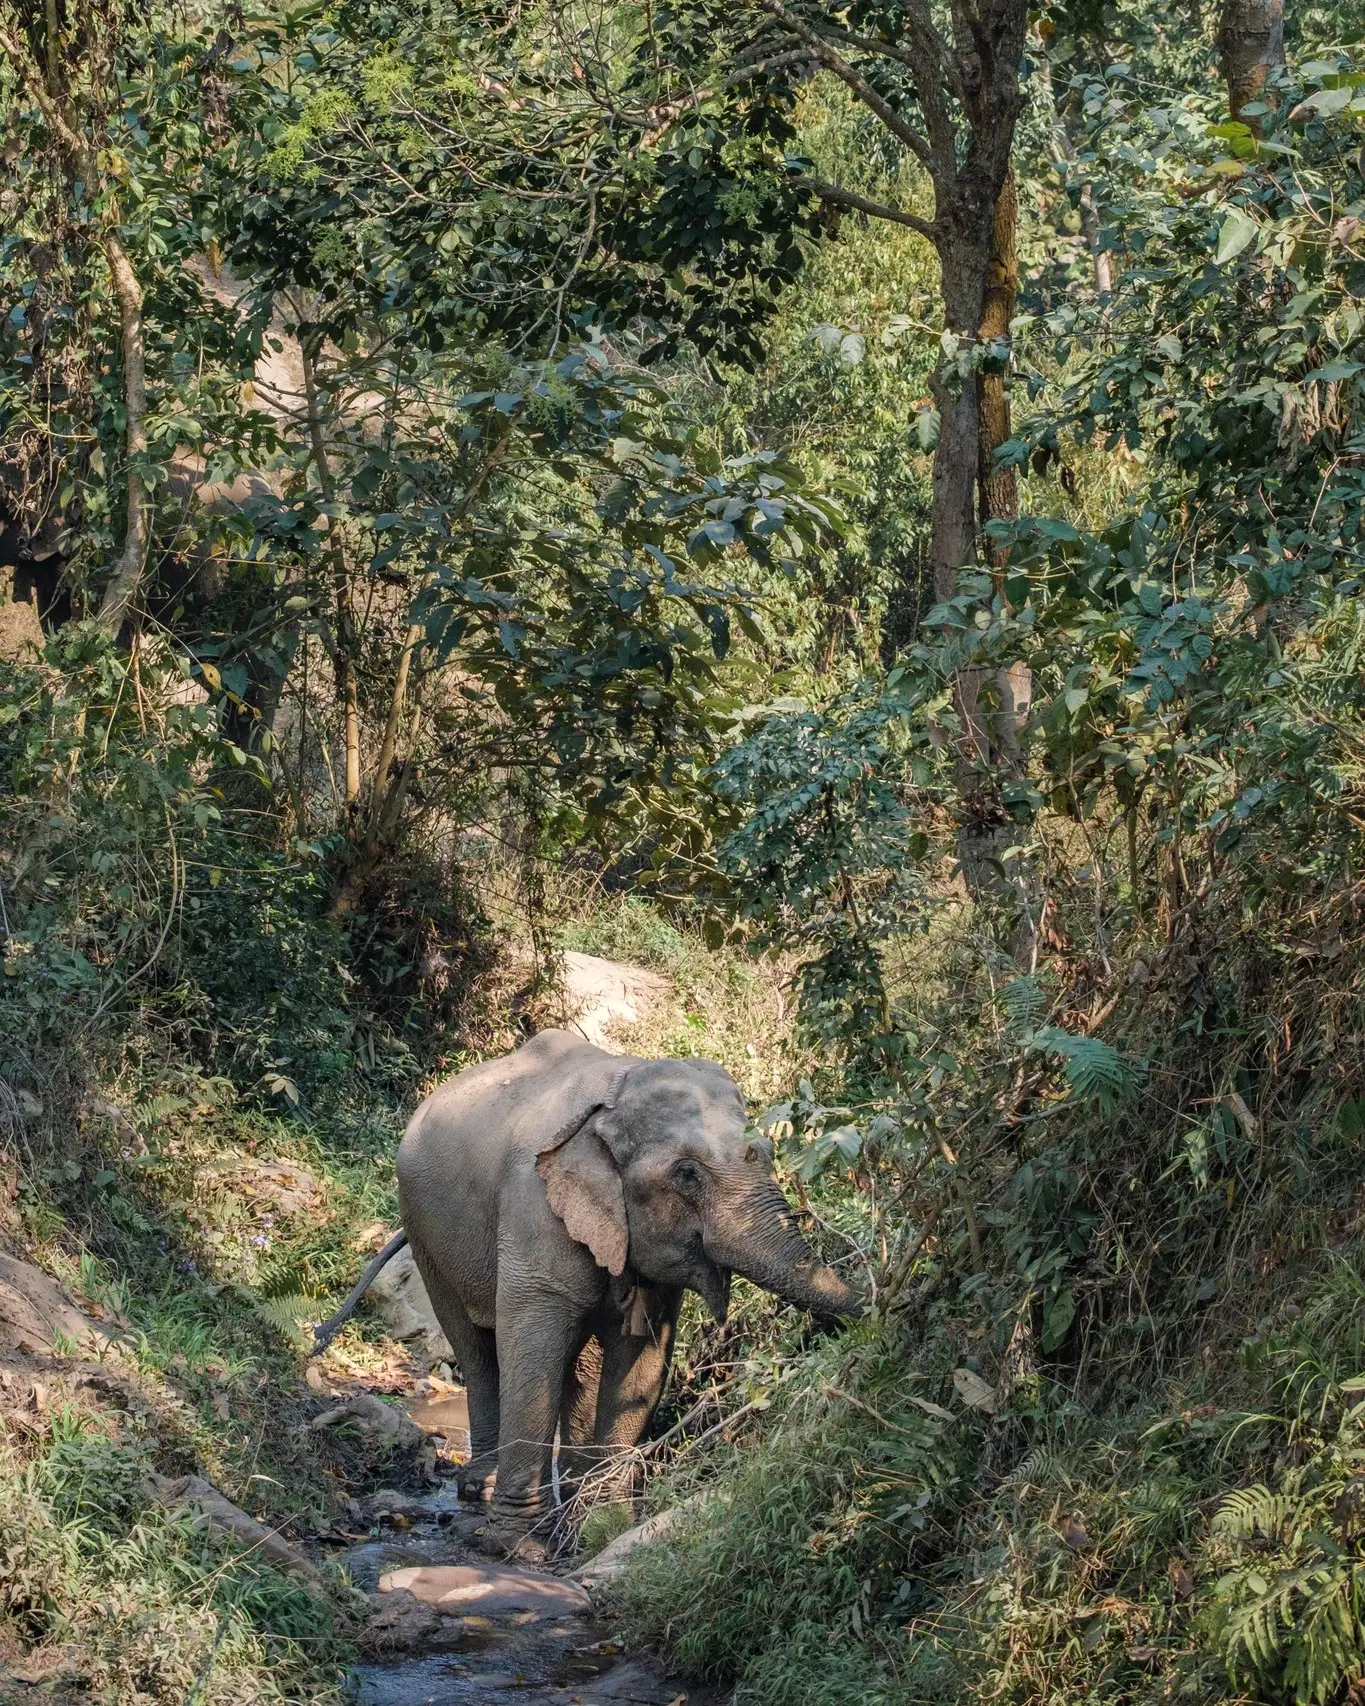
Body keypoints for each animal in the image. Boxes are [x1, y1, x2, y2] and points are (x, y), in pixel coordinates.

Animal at [313, 1029, 860, 1553]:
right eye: (687, 1174)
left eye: (767, 1155)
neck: (617, 1094)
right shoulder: (534, 1208)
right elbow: (532, 1348)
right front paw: (519, 1548)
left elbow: (641, 1360)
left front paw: (603, 1529)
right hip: (426, 1233)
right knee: (476, 1349)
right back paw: (480, 1496)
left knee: (583, 1362)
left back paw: (569, 1502)